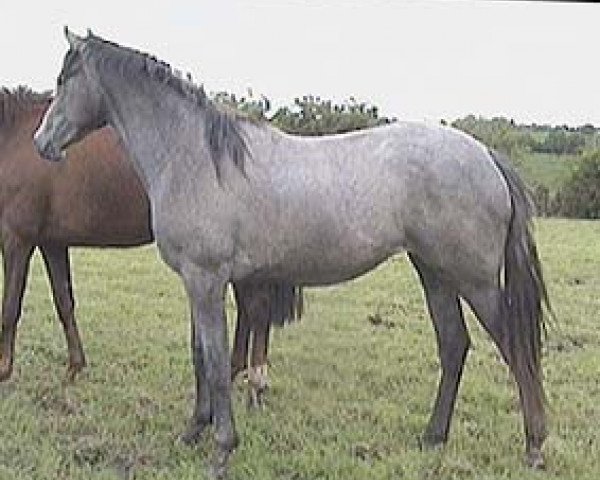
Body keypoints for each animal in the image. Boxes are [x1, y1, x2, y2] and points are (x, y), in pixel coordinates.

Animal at [0, 86, 300, 398]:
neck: (13, 136)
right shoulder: (52, 242)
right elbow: (64, 302)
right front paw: (73, 369)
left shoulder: (16, 238)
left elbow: (10, 306)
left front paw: (4, 371)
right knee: (247, 310)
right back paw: (232, 373)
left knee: (258, 309)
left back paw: (255, 383)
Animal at [31, 30, 548, 476]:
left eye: (63, 79)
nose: (42, 144)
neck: (196, 158)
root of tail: (487, 155)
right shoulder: (197, 283)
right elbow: (200, 356)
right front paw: (192, 431)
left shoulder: (206, 279)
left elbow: (216, 361)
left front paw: (221, 449)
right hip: (435, 273)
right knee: (454, 345)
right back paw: (432, 438)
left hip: (474, 281)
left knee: (514, 347)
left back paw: (535, 446)